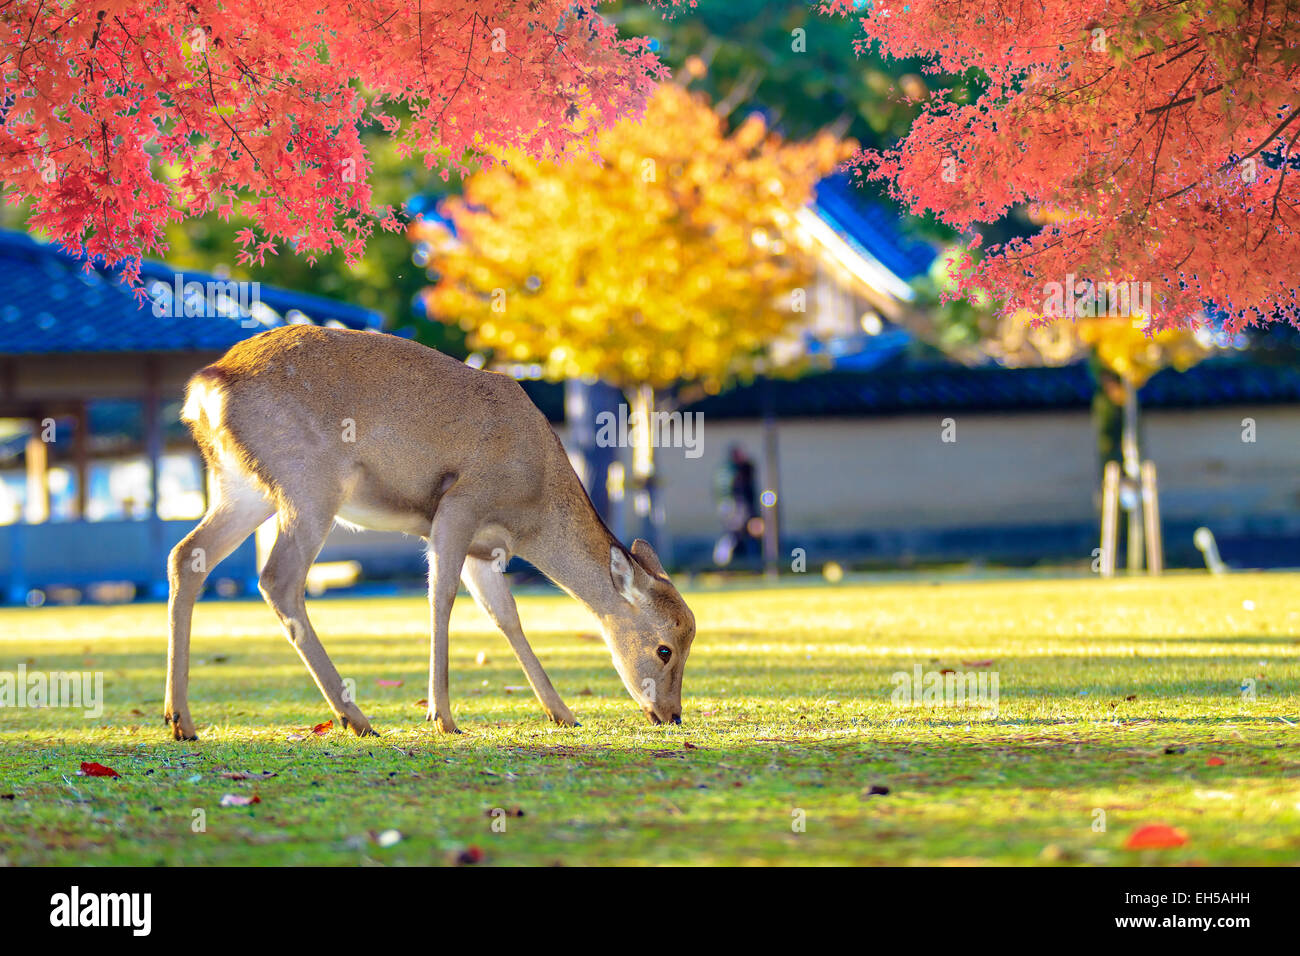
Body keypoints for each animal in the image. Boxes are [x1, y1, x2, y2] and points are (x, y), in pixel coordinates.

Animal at [166, 323, 696, 738]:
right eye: (664, 649)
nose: (671, 715)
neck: (532, 510)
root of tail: (206, 386)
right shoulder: (459, 504)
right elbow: (441, 597)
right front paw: (442, 717)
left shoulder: (486, 550)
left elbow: (506, 616)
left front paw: (562, 713)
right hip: (309, 484)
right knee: (278, 579)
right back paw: (357, 719)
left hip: (243, 488)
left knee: (186, 555)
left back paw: (181, 721)